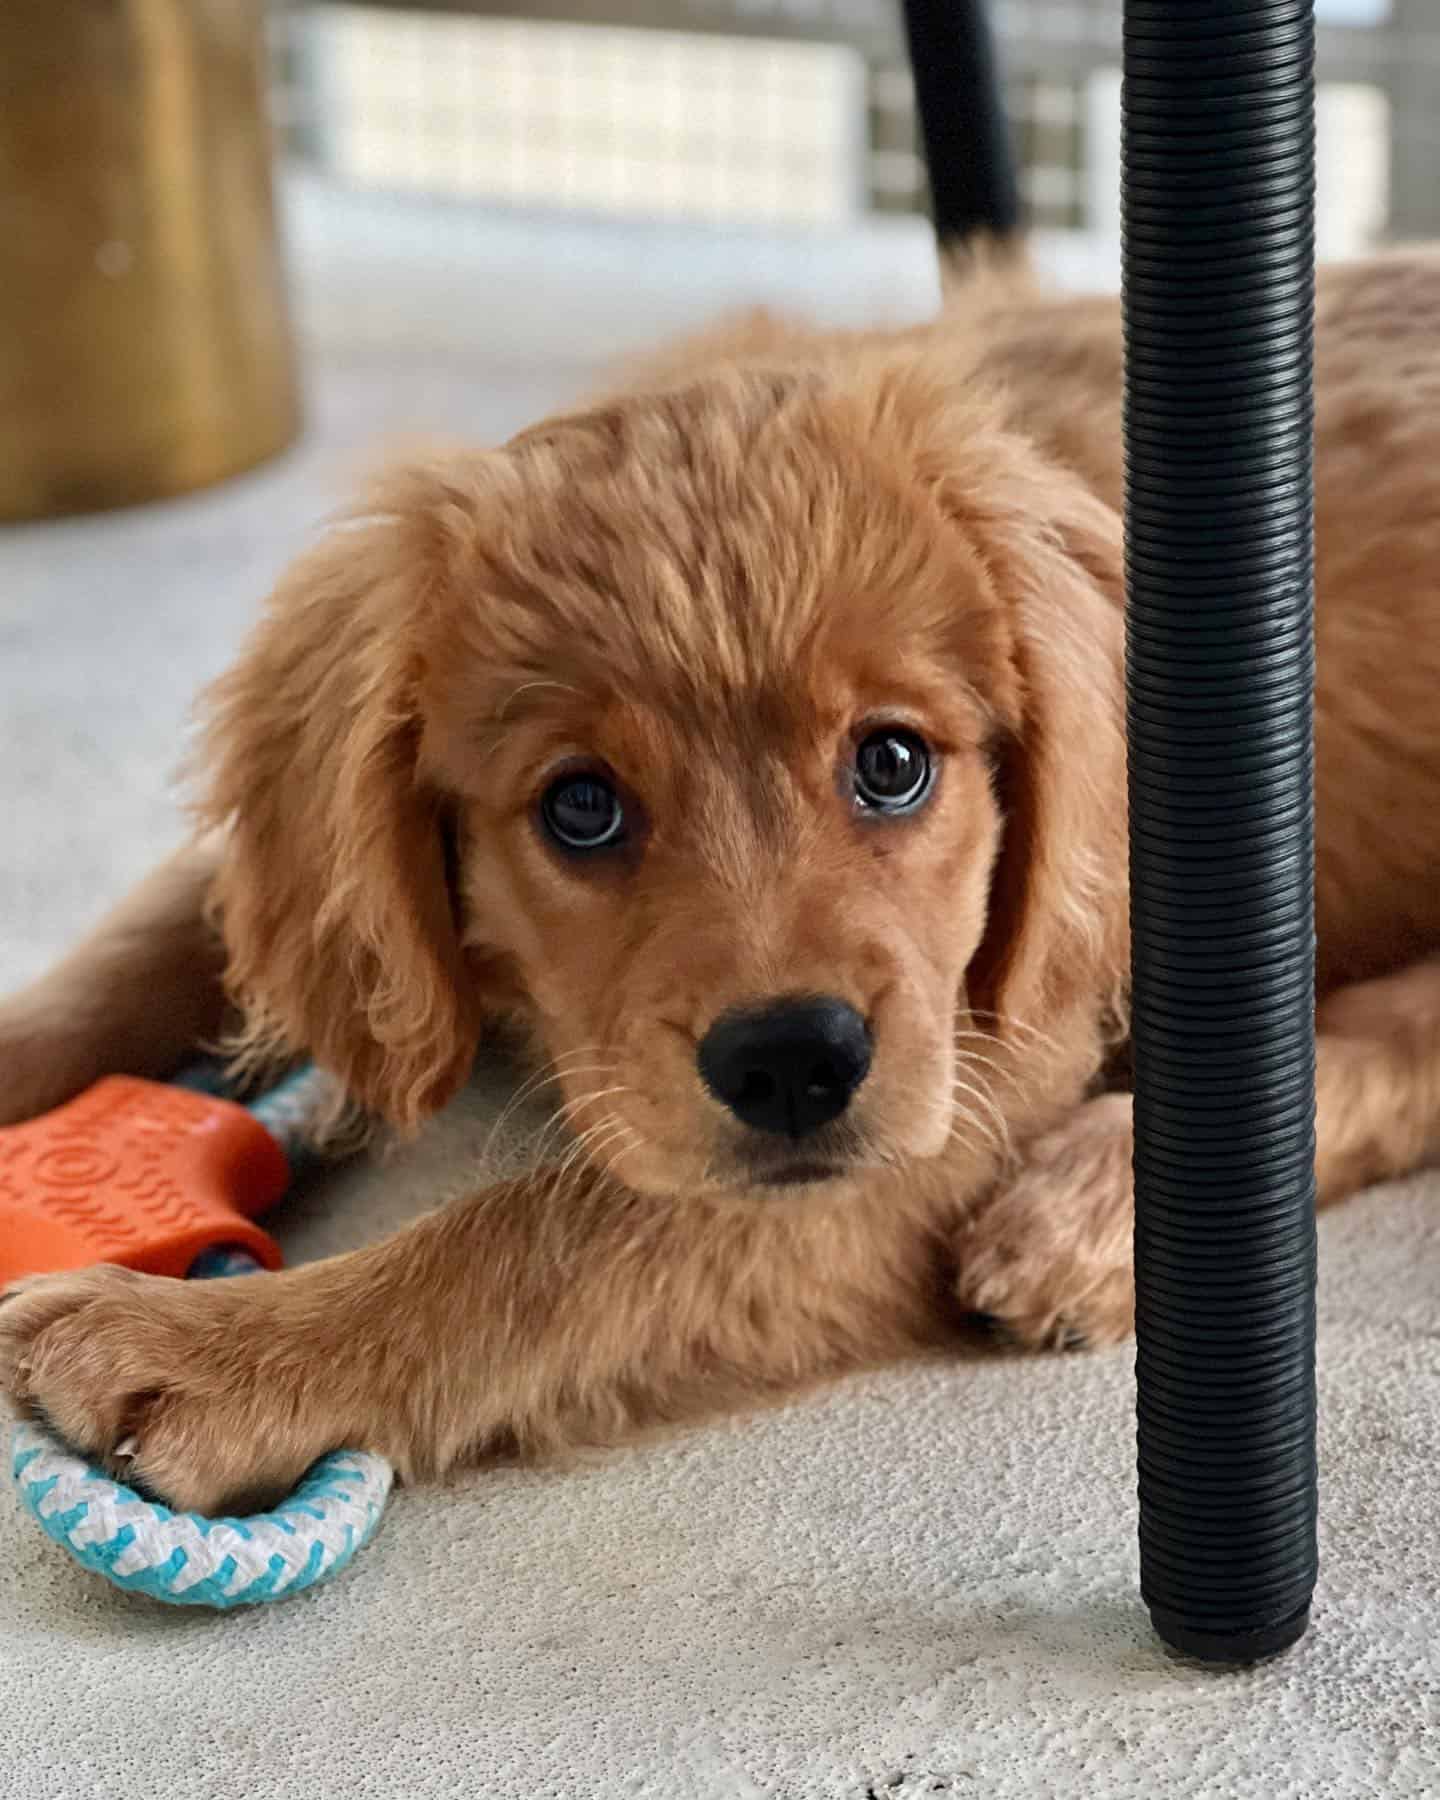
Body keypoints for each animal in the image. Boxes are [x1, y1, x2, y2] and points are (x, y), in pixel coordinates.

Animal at [2, 253, 1440, 1519]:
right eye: (580, 806)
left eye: (893, 763)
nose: (793, 1062)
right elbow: (124, 957)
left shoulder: (970, 1075)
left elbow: (551, 1244)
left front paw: (214, 1350)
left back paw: (1082, 1212)